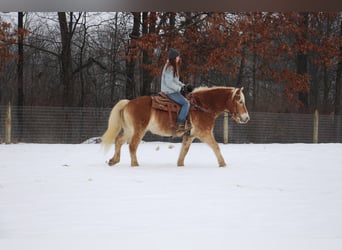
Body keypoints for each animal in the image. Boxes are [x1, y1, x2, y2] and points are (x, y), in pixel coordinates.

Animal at [101, 86, 248, 168]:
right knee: (132, 146)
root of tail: (128, 103)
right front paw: (223, 164)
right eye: (240, 101)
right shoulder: (204, 133)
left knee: (119, 141)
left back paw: (114, 160)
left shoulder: (190, 136)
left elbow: (184, 151)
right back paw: (135, 164)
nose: (246, 118)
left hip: (129, 130)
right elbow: (216, 147)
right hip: (138, 130)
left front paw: (180, 165)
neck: (202, 106)